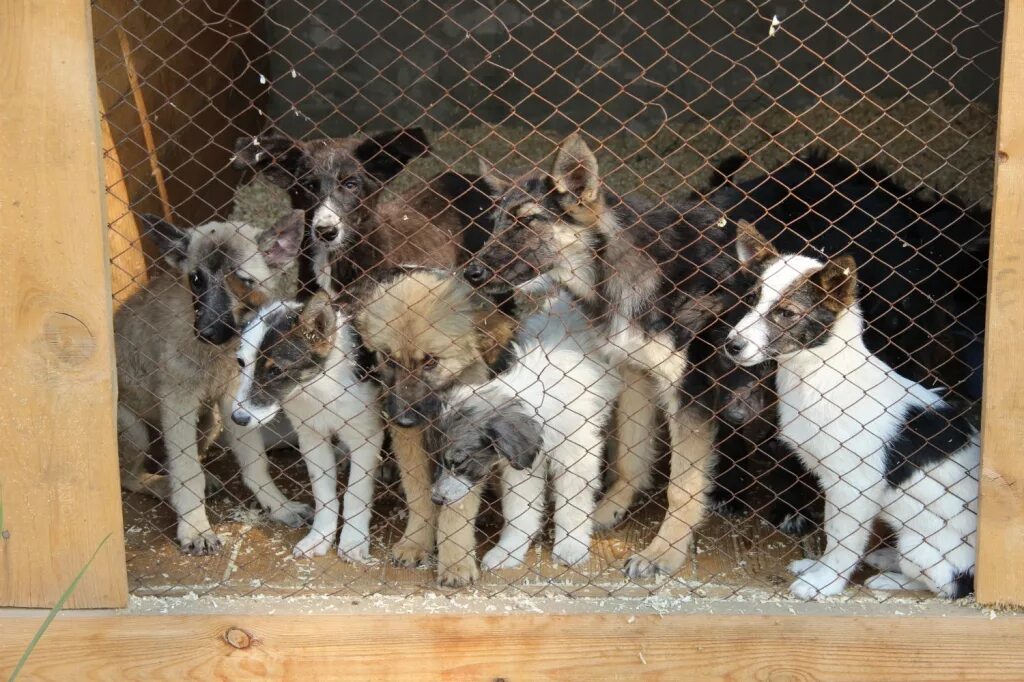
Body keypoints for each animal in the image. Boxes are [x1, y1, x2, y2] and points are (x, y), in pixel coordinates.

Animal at [232, 288, 385, 561]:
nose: (237, 419)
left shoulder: (366, 436)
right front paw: (320, 537)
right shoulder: (311, 437)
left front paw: (353, 540)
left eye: (275, 370)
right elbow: (323, 494)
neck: (319, 388)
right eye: (241, 362)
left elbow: (356, 493)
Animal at [724, 220, 978, 598]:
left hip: (924, 549)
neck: (816, 376)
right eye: (753, 299)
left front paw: (825, 582)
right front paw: (816, 568)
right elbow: (832, 532)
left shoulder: (852, 486)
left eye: (786, 313)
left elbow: (842, 540)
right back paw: (885, 558)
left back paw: (891, 577)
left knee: (950, 584)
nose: (731, 345)